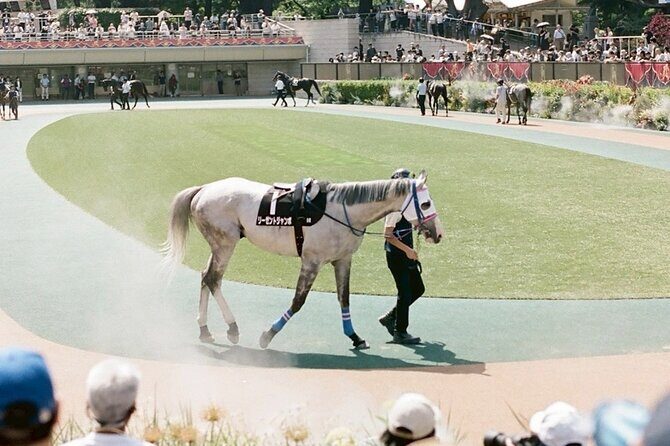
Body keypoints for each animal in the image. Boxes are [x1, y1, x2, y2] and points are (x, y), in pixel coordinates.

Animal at [162, 171, 443, 350]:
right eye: (426, 204)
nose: (438, 233)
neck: (343, 211)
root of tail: (203, 189)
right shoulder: (312, 261)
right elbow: (298, 301)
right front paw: (268, 335)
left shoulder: (342, 260)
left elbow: (344, 298)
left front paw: (354, 337)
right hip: (225, 243)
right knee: (213, 278)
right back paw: (231, 328)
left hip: (219, 244)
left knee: (205, 277)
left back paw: (205, 330)